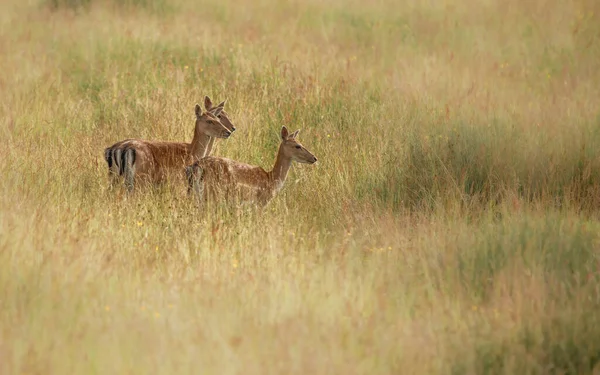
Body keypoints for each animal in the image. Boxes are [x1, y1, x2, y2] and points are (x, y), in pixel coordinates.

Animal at [103, 97, 234, 191]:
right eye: (210, 121)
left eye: (217, 118)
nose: (229, 131)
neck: (193, 152)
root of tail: (116, 149)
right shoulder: (179, 182)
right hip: (140, 178)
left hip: (115, 176)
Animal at [186, 126, 318, 209]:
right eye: (297, 146)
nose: (314, 158)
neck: (271, 179)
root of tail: (197, 166)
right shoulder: (260, 202)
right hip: (212, 192)